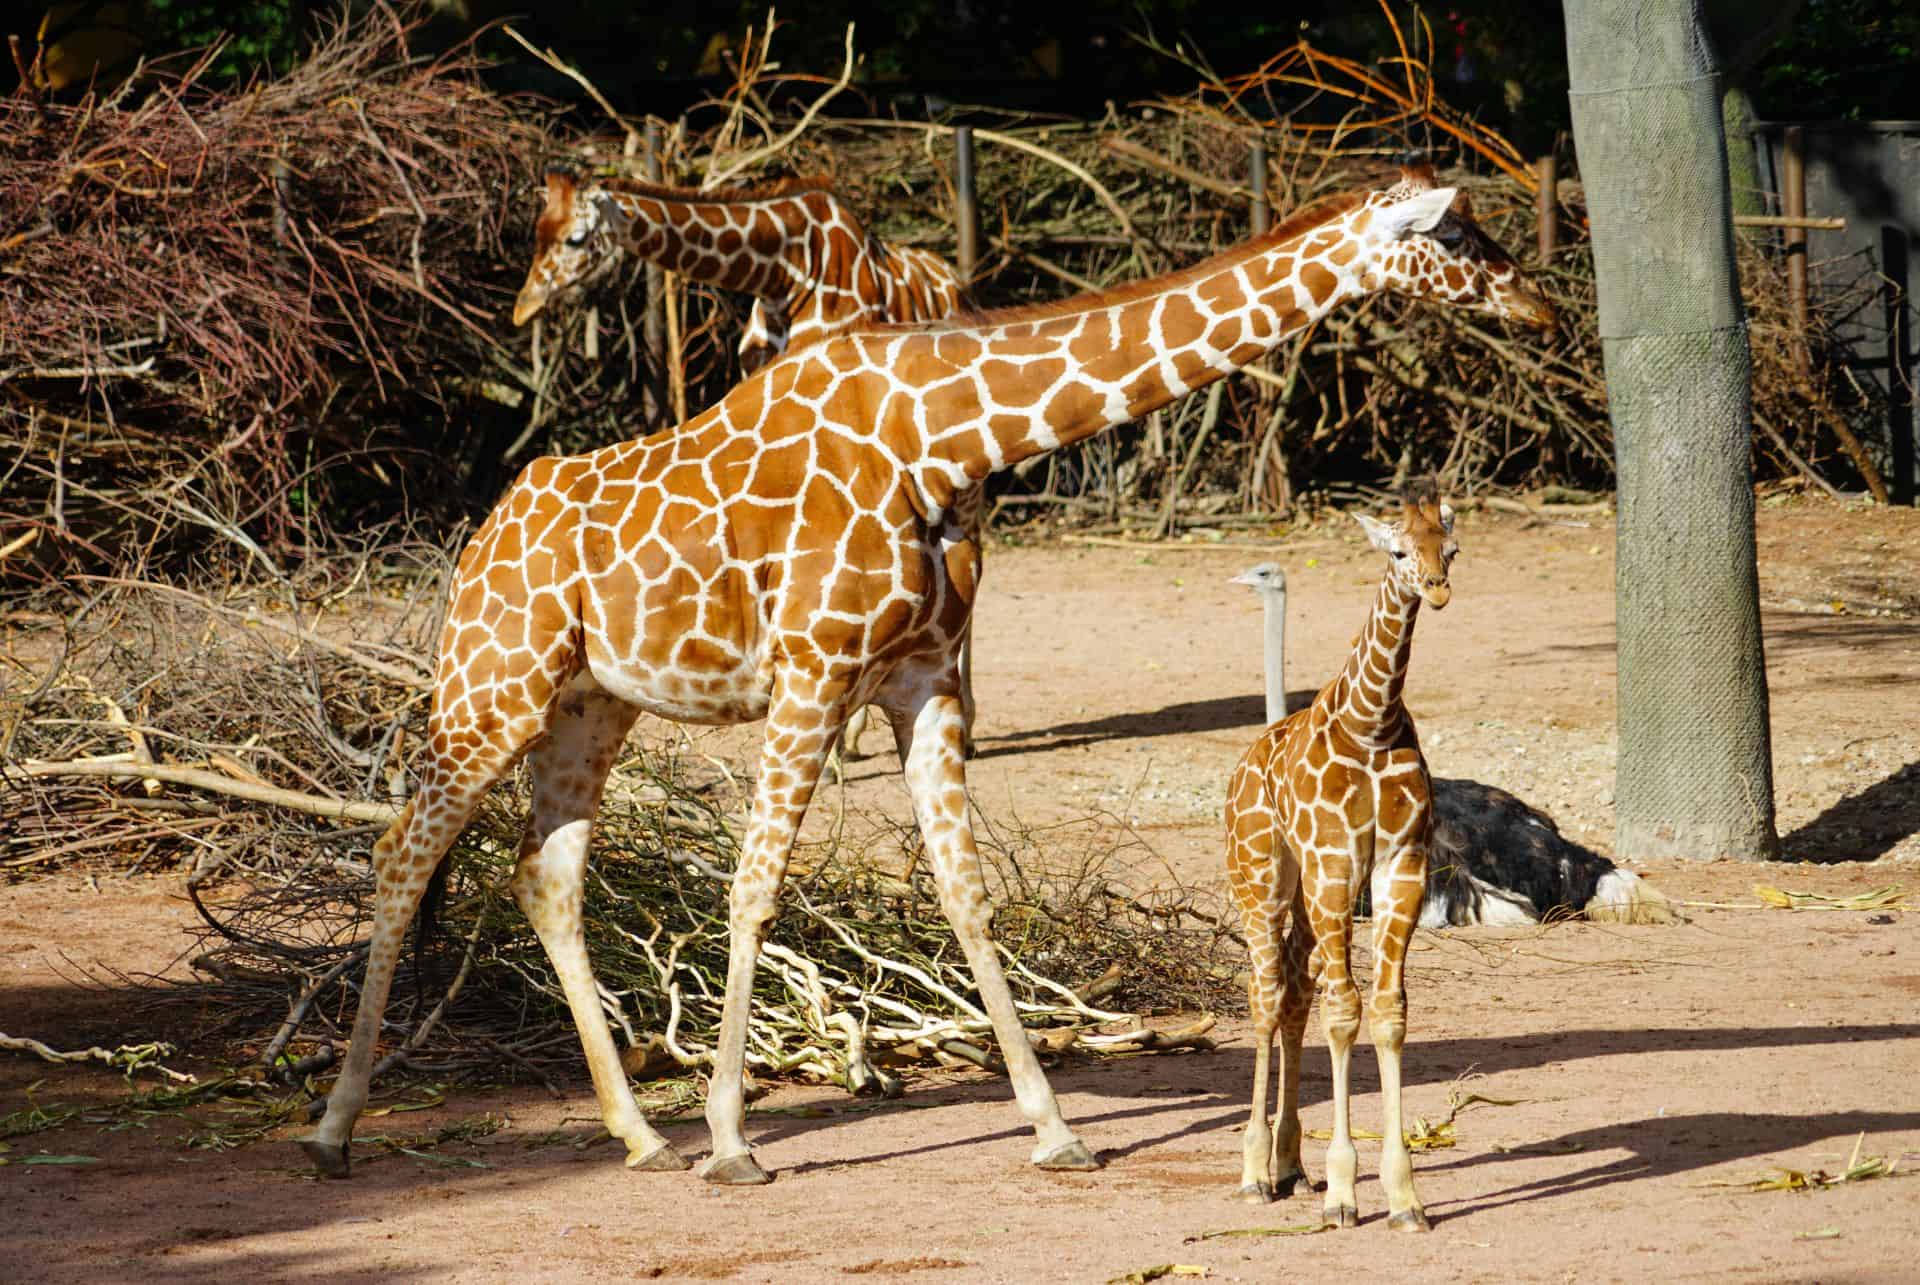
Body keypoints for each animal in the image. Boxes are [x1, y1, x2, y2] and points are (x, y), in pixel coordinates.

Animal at [512, 167, 979, 758]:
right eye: (536, 231)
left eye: (575, 238)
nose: (522, 308)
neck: (785, 272)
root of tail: (957, 285)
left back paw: (962, 723)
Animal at [1224, 478, 1461, 1232]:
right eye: (1397, 550)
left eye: (1449, 548)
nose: (1438, 589)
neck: (1373, 721)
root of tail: (1242, 767)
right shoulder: (1333, 866)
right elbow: (1344, 1011)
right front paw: (1344, 1191)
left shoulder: (1399, 866)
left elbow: (1387, 1011)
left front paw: (1404, 1195)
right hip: (1262, 878)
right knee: (1267, 994)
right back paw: (1253, 1170)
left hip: (1302, 894)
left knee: (1294, 993)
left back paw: (1287, 1162)